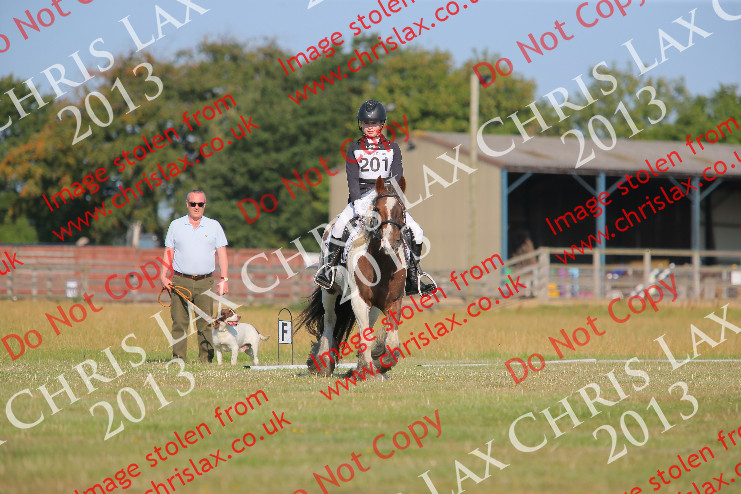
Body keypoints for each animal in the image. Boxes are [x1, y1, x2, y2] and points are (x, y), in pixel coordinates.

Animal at [297, 176, 408, 378]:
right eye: (377, 209)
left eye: (401, 210)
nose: (389, 243)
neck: (381, 263)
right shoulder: (359, 299)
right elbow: (366, 335)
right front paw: (367, 369)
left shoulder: (394, 301)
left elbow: (392, 343)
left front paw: (378, 363)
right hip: (329, 292)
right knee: (330, 321)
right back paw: (323, 364)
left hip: (374, 306)